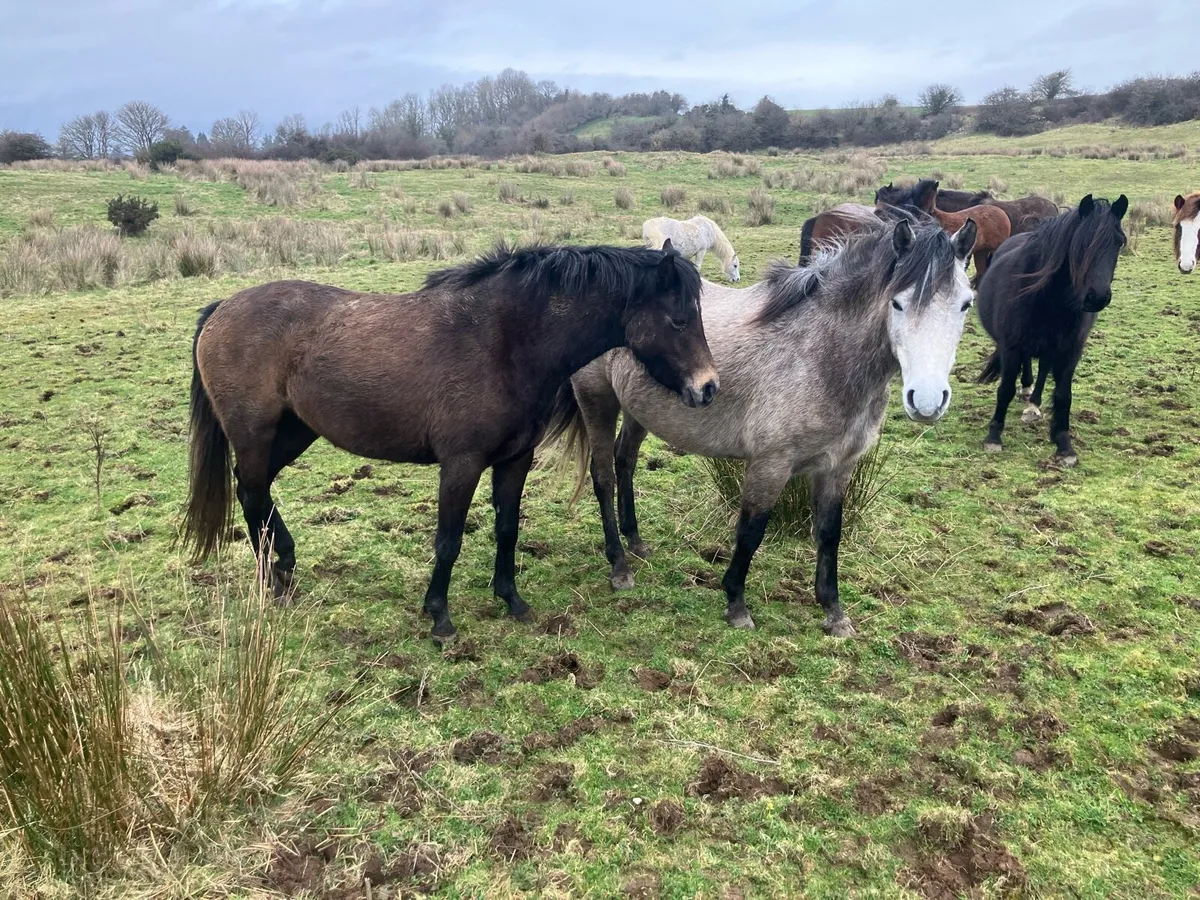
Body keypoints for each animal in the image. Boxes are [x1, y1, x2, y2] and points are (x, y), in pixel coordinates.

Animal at [182, 241, 719, 642]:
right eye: (678, 319)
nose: (708, 387)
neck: (503, 340)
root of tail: (222, 308)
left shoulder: (514, 459)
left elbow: (507, 529)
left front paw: (511, 599)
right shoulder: (461, 463)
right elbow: (449, 540)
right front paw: (439, 616)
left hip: (293, 431)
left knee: (256, 491)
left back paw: (284, 566)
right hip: (256, 434)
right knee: (252, 492)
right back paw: (270, 580)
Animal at [546, 212, 977, 637]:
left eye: (965, 304)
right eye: (898, 304)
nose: (926, 400)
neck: (820, 356)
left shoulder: (838, 467)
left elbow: (829, 534)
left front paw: (834, 612)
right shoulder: (771, 464)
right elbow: (751, 531)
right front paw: (736, 604)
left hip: (640, 409)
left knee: (626, 462)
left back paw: (636, 541)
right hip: (598, 400)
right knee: (604, 476)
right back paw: (620, 566)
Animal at [976, 194, 1128, 466]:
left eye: (1119, 242)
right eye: (1080, 242)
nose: (1097, 297)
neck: (1050, 299)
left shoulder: (1070, 351)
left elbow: (1063, 395)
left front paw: (1064, 445)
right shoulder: (1011, 346)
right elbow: (1005, 390)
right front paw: (993, 436)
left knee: (1043, 369)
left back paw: (1033, 404)